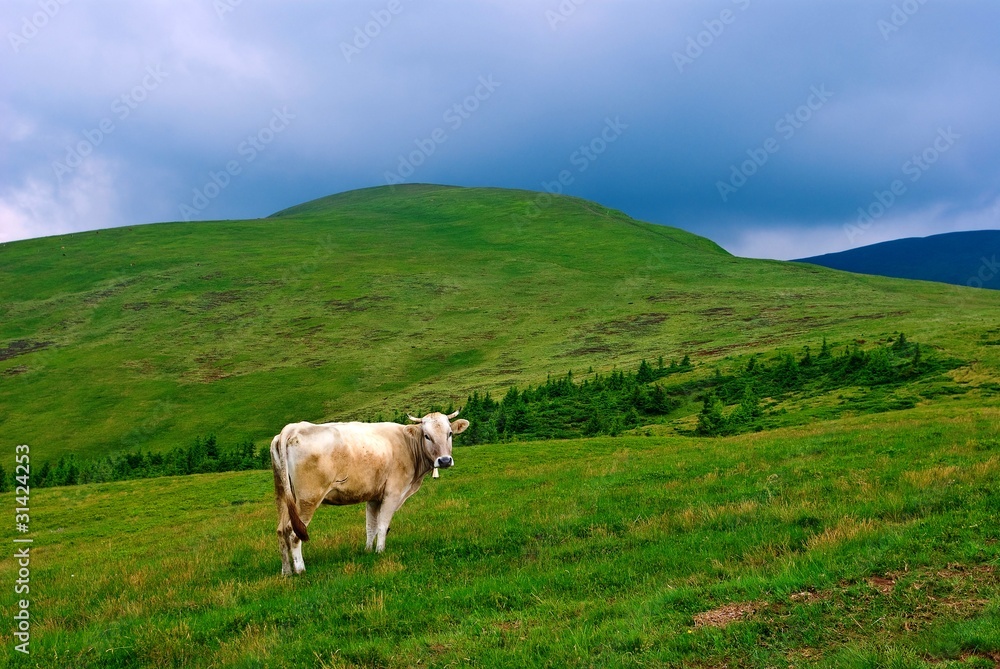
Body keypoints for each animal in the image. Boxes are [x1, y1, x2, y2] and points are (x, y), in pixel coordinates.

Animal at [266, 408, 468, 576]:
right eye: (427, 436)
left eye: (450, 433)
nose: (444, 460)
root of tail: (292, 428)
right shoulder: (392, 494)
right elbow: (383, 525)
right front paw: (380, 552)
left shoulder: (374, 496)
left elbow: (370, 526)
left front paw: (368, 551)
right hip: (308, 499)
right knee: (294, 533)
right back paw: (300, 570)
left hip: (283, 496)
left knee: (281, 530)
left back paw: (286, 572)